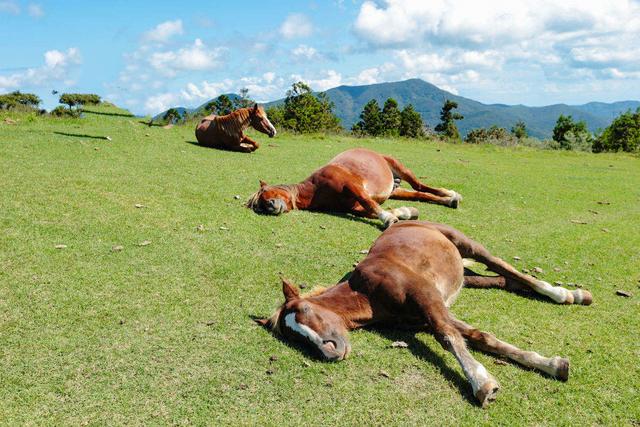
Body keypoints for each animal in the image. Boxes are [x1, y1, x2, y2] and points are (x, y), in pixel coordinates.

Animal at [248, 148, 462, 229]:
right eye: (258, 206)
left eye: (265, 193)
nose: (269, 206)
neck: (315, 188)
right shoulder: (352, 206)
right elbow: (369, 210)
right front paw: (405, 213)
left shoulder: (353, 187)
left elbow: (370, 204)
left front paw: (388, 218)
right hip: (395, 190)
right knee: (420, 193)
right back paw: (449, 200)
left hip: (400, 167)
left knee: (420, 186)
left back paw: (451, 194)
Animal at [256, 222, 596, 410]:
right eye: (295, 338)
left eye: (305, 311)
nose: (330, 352)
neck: (368, 292)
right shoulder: (426, 314)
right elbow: (479, 337)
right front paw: (552, 364)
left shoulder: (427, 299)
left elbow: (448, 337)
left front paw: (483, 385)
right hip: (464, 275)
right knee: (502, 280)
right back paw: (574, 295)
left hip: (467, 245)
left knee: (507, 269)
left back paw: (565, 294)